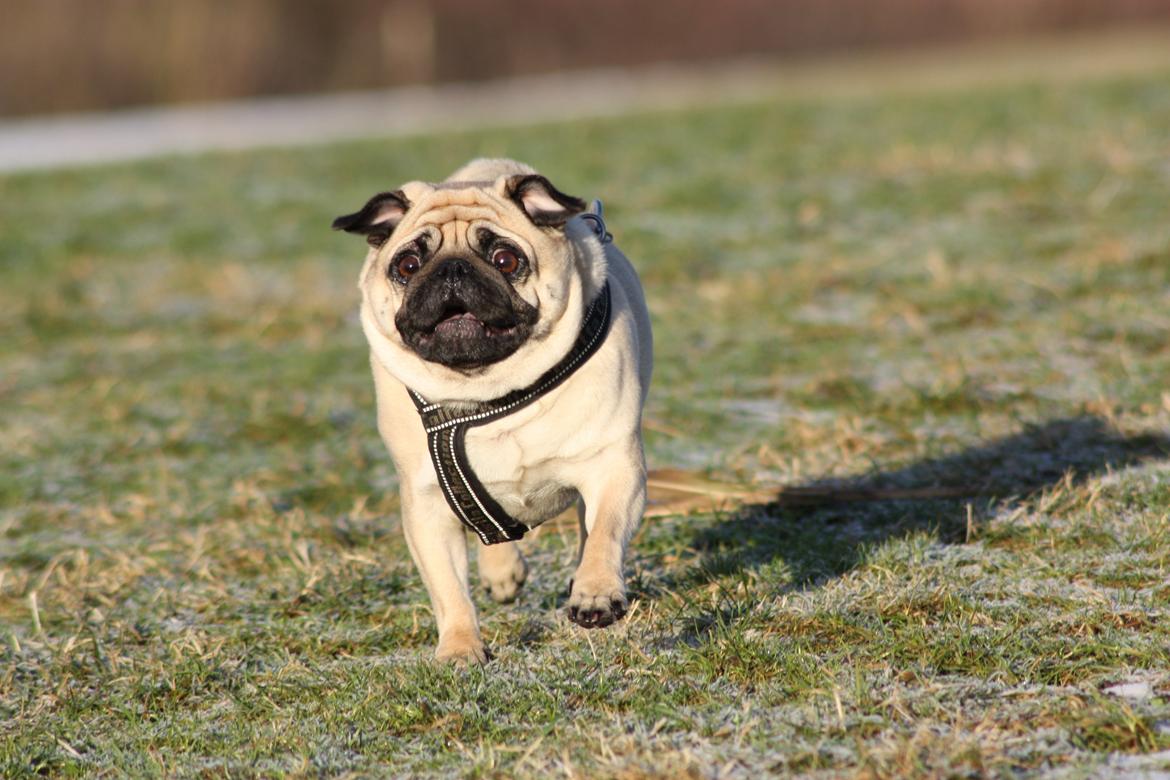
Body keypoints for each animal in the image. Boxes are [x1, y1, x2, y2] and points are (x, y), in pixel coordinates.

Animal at [334, 159, 655, 664]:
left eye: (506, 260)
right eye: (407, 265)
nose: (453, 269)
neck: (492, 392)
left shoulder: (613, 466)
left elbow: (604, 531)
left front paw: (597, 592)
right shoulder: (428, 505)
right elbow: (449, 590)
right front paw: (461, 649)